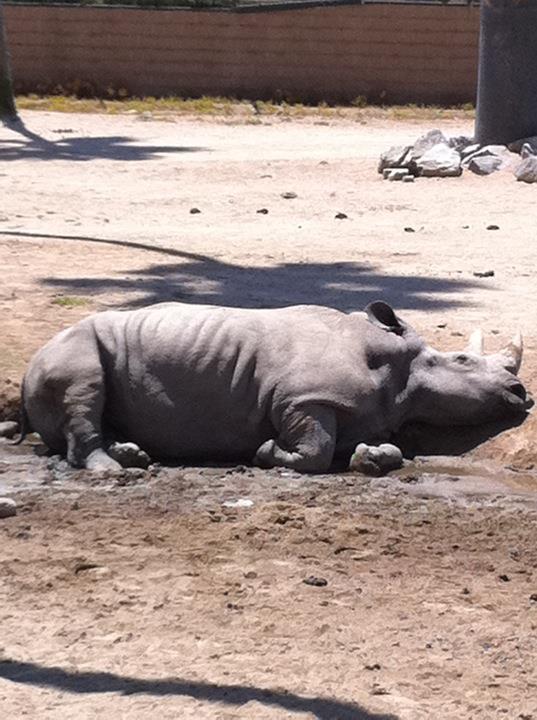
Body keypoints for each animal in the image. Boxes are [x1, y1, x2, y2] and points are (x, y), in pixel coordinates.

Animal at [18, 301, 530, 473]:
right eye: (462, 360)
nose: (520, 391)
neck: (395, 367)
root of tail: (25, 368)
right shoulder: (300, 399)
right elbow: (316, 450)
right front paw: (266, 453)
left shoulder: (366, 412)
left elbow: (382, 447)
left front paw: (370, 460)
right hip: (68, 349)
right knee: (83, 387)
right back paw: (115, 471)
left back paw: (133, 455)